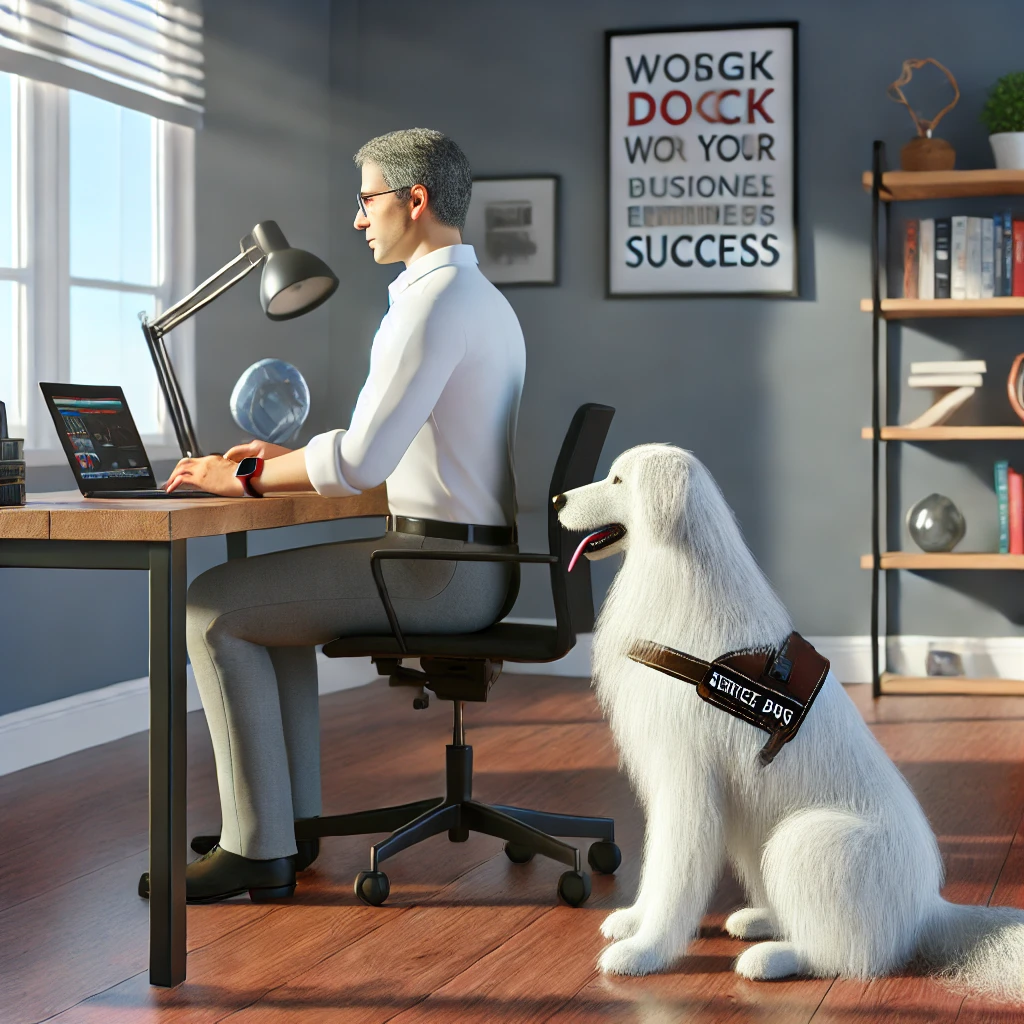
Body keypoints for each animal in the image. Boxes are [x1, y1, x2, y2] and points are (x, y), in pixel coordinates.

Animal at [557, 442, 1024, 999]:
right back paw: (759, 920)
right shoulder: (666, 781)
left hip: (802, 839)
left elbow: (672, 875)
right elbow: (654, 867)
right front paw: (632, 920)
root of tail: (927, 912)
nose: (557, 498)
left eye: (616, 480)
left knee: (848, 956)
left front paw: (644, 952)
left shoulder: (688, 781)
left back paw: (772, 957)